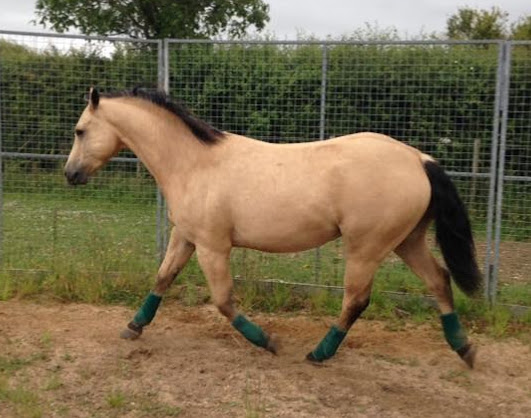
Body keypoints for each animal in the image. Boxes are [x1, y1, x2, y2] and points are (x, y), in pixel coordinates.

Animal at [65, 86, 482, 368]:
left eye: (80, 130)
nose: (70, 175)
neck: (194, 164)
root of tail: (418, 158)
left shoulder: (213, 247)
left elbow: (224, 301)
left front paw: (268, 341)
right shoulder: (185, 237)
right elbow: (162, 279)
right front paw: (133, 327)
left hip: (366, 249)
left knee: (356, 300)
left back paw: (319, 352)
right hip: (406, 242)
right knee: (439, 280)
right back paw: (464, 349)